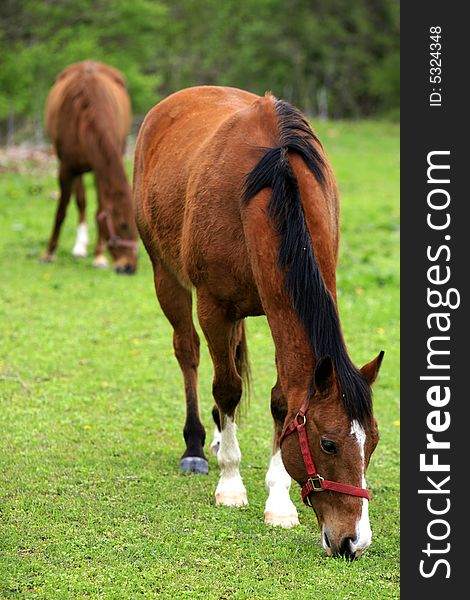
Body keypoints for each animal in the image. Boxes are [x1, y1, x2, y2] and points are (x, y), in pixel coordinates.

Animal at [41, 58, 138, 274]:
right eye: (122, 225)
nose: (129, 267)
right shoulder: (66, 169)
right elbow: (62, 210)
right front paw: (49, 253)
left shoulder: (100, 170)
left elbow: (100, 209)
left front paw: (99, 256)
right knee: (81, 200)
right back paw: (79, 246)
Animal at [134, 86, 384, 560]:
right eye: (328, 444)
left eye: (374, 442)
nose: (353, 541)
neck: (268, 191)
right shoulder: (214, 306)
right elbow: (228, 387)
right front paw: (231, 485)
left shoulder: (277, 306)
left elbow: (282, 401)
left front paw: (279, 501)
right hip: (166, 275)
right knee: (189, 353)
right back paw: (197, 445)